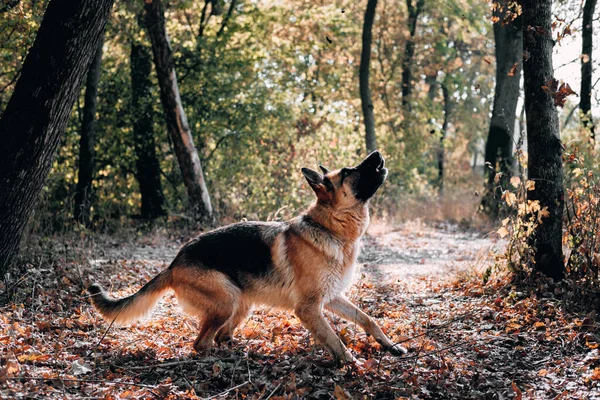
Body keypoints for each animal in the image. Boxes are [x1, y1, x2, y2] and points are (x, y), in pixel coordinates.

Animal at [89, 152, 406, 364]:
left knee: (220, 336)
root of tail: (174, 263)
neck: (329, 228)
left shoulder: (333, 298)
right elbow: (333, 338)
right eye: (348, 172)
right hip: (227, 301)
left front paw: (389, 346)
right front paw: (351, 364)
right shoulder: (309, 308)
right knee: (201, 343)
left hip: (242, 304)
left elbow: (368, 320)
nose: (377, 154)